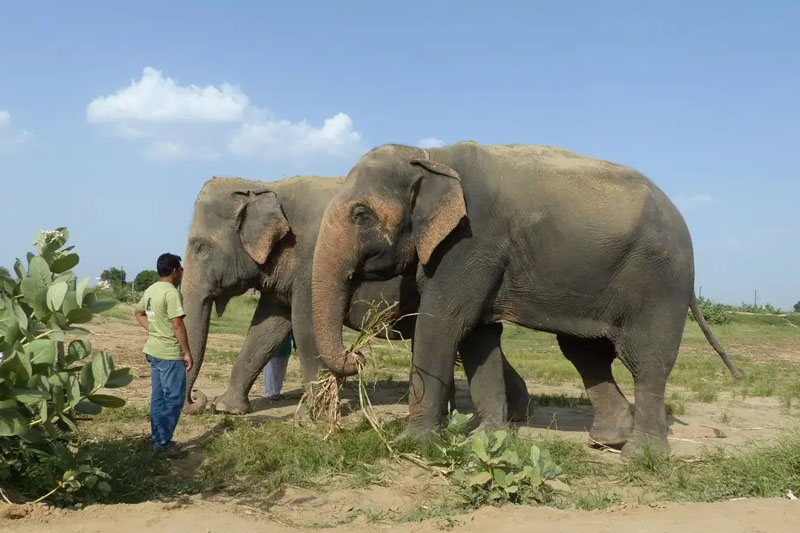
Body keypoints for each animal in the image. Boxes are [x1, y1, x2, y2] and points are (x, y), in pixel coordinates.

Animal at [180, 176, 531, 418]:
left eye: (200, 247)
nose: (198, 400)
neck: (266, 185)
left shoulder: (309, 260)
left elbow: (304, 327)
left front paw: (312, 415)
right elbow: (266, 330)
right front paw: (228, 410)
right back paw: (516, 413)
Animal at [310, 142, 743, 456]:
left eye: (361, 214)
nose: (357, 357)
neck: (432, 156)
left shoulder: (472, 241)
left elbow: (443, 323)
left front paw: (411, 444)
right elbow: (478, 336)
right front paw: (488, 437)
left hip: (660, 281)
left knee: (646, 360)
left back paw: (640, 455)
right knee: (584, 354)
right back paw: (606, 441)